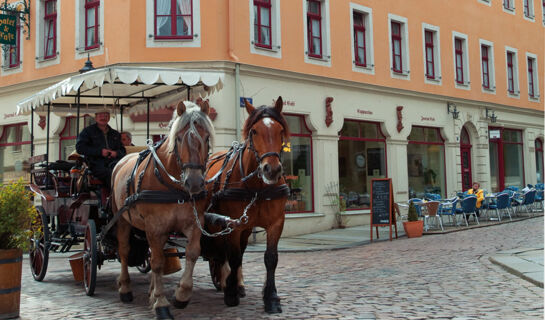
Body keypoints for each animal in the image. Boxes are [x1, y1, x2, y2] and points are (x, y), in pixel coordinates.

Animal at [111, 100, 214, 320]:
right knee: (124, 251)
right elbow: (157, 262)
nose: (194, 182)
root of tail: (122, 160)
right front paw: (161, 302)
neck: (173, 186)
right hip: (122, 220)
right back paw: (125, 289)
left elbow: (192, 253)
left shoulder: (194, 223)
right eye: (179, 137)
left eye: (206, 137)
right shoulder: (154, 226)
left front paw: (181, 294)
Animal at [202, 96, 288, 314]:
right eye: (254, 131)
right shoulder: (232, 224)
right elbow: (233, 257)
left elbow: (271, 258)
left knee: (238, 252)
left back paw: (237, 284)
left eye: (280, 130)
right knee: (225, 254)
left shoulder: (276, 223)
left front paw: (271, 297)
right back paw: (227, 282)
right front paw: (230, 292)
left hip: (246, 227)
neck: (257, 188)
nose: (271, 169)